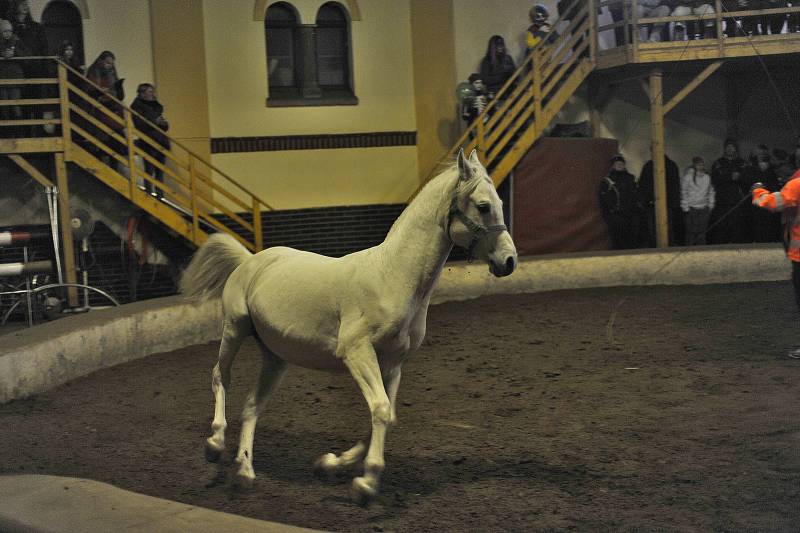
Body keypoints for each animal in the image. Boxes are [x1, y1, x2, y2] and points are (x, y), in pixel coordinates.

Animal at [181, 148, 520, 500]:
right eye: (483, 206)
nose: (509, 261)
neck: (392, 277)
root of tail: (251, 260)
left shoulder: (392, 363)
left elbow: (386, 413)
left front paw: (330, 463)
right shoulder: (357, 353)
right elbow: (381, 409)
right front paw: (367, 483)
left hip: (276, 357)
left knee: (251, 406)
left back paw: (245, 470)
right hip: (235, 328)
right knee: (221, 376)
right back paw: (215, 444)